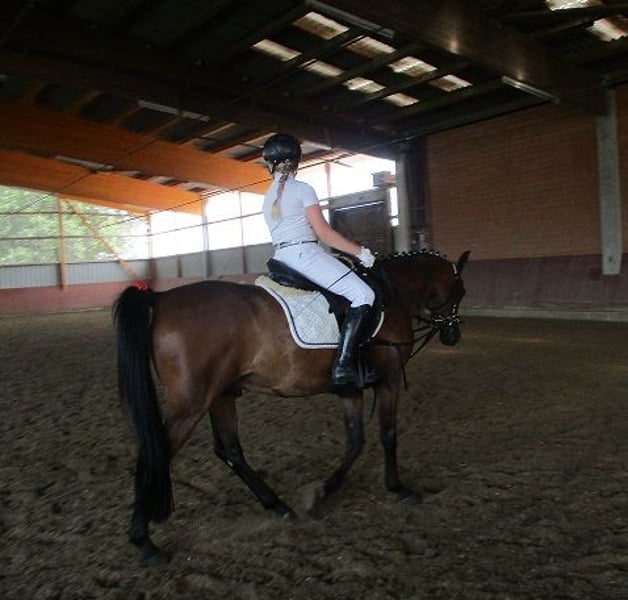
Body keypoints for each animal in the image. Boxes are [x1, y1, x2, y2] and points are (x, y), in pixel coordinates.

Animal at [113, 249, 470, 564]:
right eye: (461, 290)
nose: (453, 335)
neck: (391, 292)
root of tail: (160, 299)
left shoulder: (349, 389)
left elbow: (356, 441)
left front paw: (325, 490)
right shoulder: (389, 381)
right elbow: (388, 434)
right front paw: (397, 488)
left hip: (221, 395)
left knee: (230, 450)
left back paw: (279, 507)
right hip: (192, 404)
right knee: (155, 455)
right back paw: (144, 543)